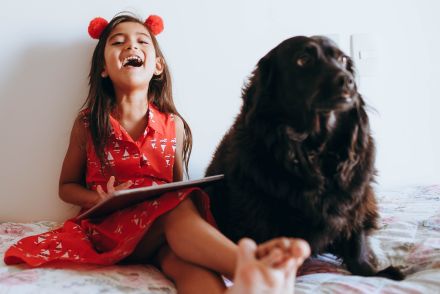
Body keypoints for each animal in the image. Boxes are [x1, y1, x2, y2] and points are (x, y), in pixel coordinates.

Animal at [205, 35, 402, 280]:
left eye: (342, 59)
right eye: (303, 60)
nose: (348, 81)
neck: (314, 149)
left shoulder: (355, 199)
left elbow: (356, 242)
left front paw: (370, 271)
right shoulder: (254, 205)